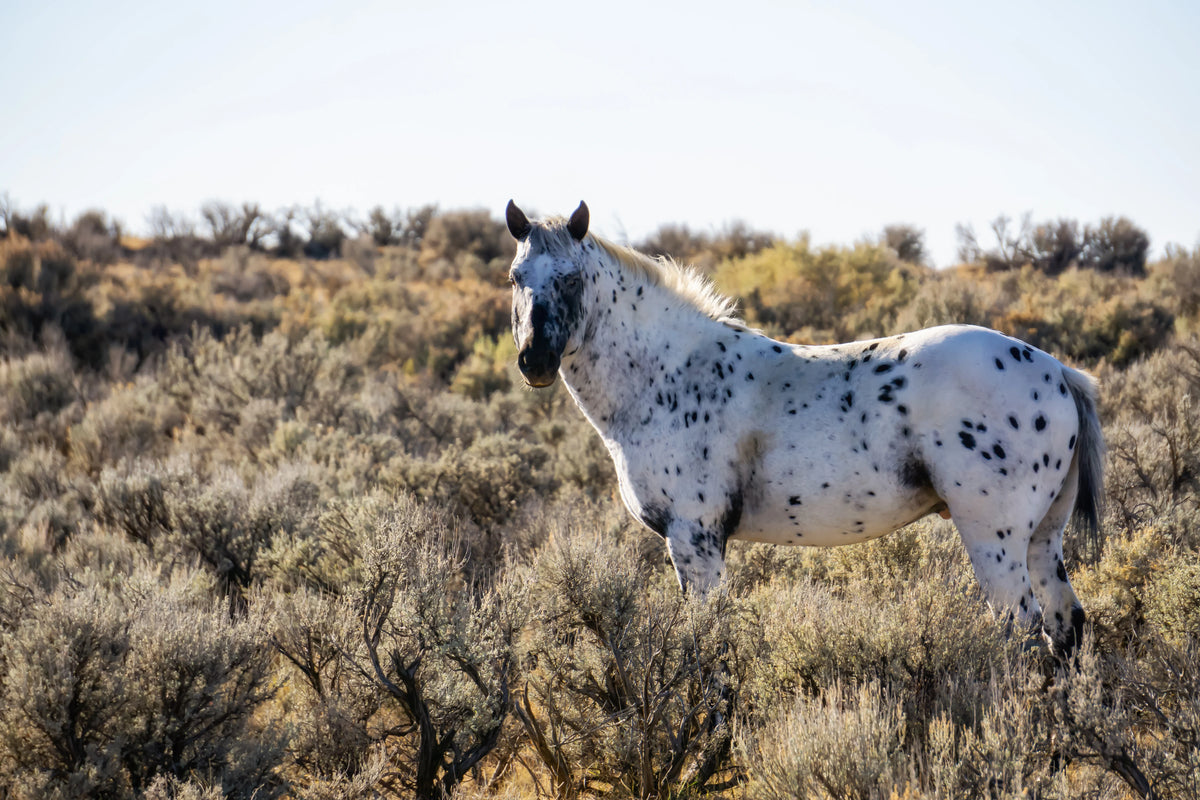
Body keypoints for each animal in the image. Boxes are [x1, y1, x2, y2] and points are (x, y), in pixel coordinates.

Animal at [504, 200, 1104, 658]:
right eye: (516, 278)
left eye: (572, 278)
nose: (534, 361)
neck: (668, 374)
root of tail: (1057, 371)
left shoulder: (695, 539)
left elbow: (711, 647)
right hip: (1043, 537)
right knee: (1065, 626)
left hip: (993, 539)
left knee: (1023, 630)